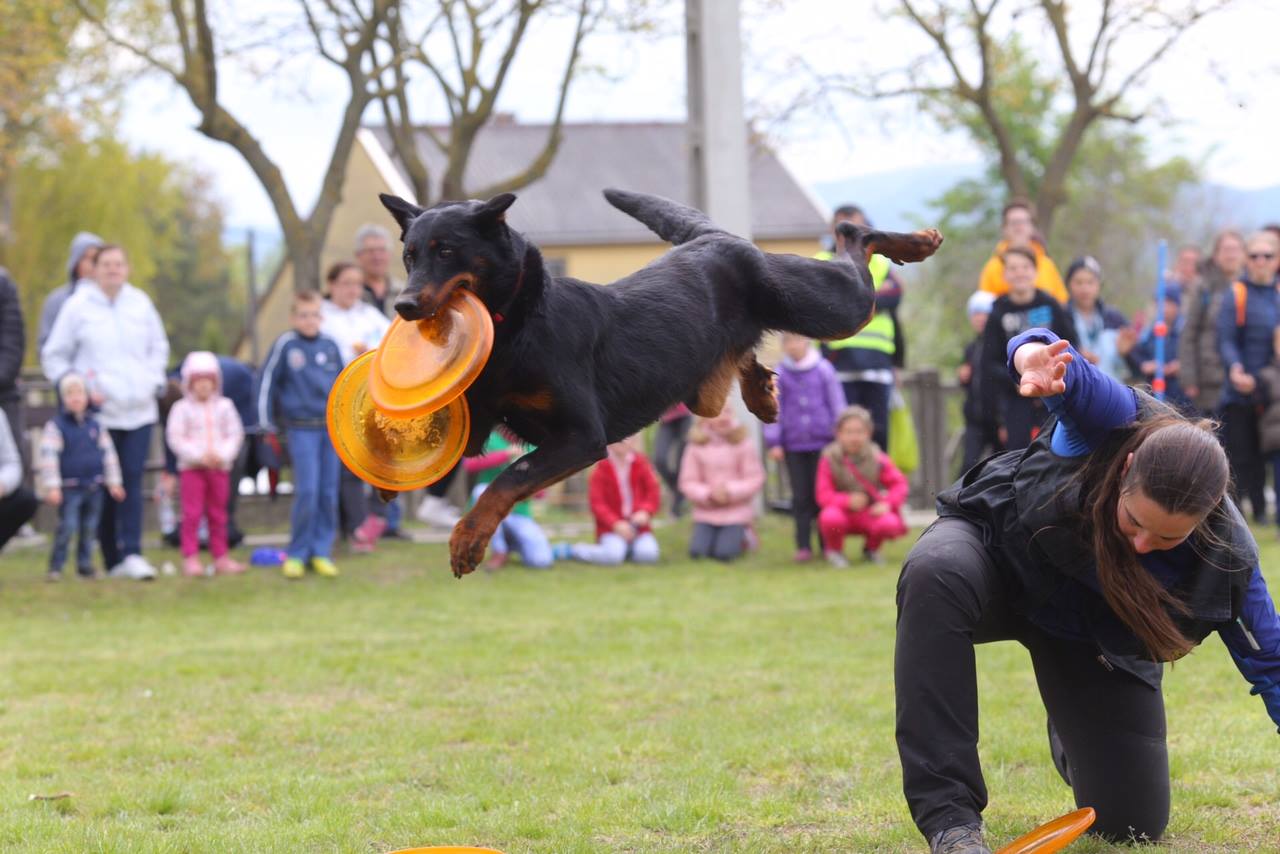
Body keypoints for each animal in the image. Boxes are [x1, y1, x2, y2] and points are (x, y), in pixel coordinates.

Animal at [378, 185, 942, 573]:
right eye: (409, 255)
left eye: (446, 251)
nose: (402, 305)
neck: (515, 322)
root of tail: (713, 236)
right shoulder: (476, 426)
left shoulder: (580, 437)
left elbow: (509, 479)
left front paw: (468, 540)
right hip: (704, 390)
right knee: (741, 360)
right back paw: (761, 394)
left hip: (832, 308)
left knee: (855, 242)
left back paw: (914, 243)